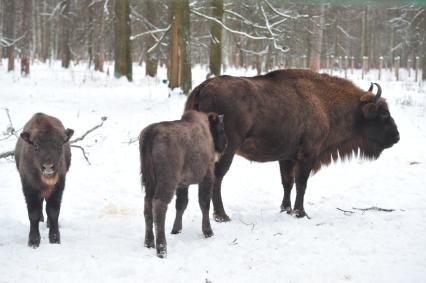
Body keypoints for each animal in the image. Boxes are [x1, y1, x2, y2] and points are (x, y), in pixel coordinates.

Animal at [14, 113, 73, 248]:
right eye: (36, 146)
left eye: (59, 145)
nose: (48, 166)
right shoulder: (29, 189)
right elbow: (33, 214)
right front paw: (33, 242)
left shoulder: (58, 188)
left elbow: (53, 212)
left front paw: (55, 239)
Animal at [139, 111, 226, 260]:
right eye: (221, 129)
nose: (225, 145)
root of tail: (152, 132)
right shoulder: (207, 176)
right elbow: (204, 204)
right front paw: (208, 232)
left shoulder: (182, 184)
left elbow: (181, 204)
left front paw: (176, 230)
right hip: (167, 182)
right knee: (159, 205)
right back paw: (162, 249)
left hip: (149, 183)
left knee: (147, 206)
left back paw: (149, 243)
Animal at [186, 69, 400, 222]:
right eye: (383, 113)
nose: (397, 136)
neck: (322, 101)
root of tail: (203, 87)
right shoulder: (307, 155)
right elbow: (301, 184)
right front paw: (301, 212)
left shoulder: (287, 157)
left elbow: (287, 183)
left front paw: (286, 209)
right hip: (226, 151)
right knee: (217, 178)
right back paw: (222, 216)